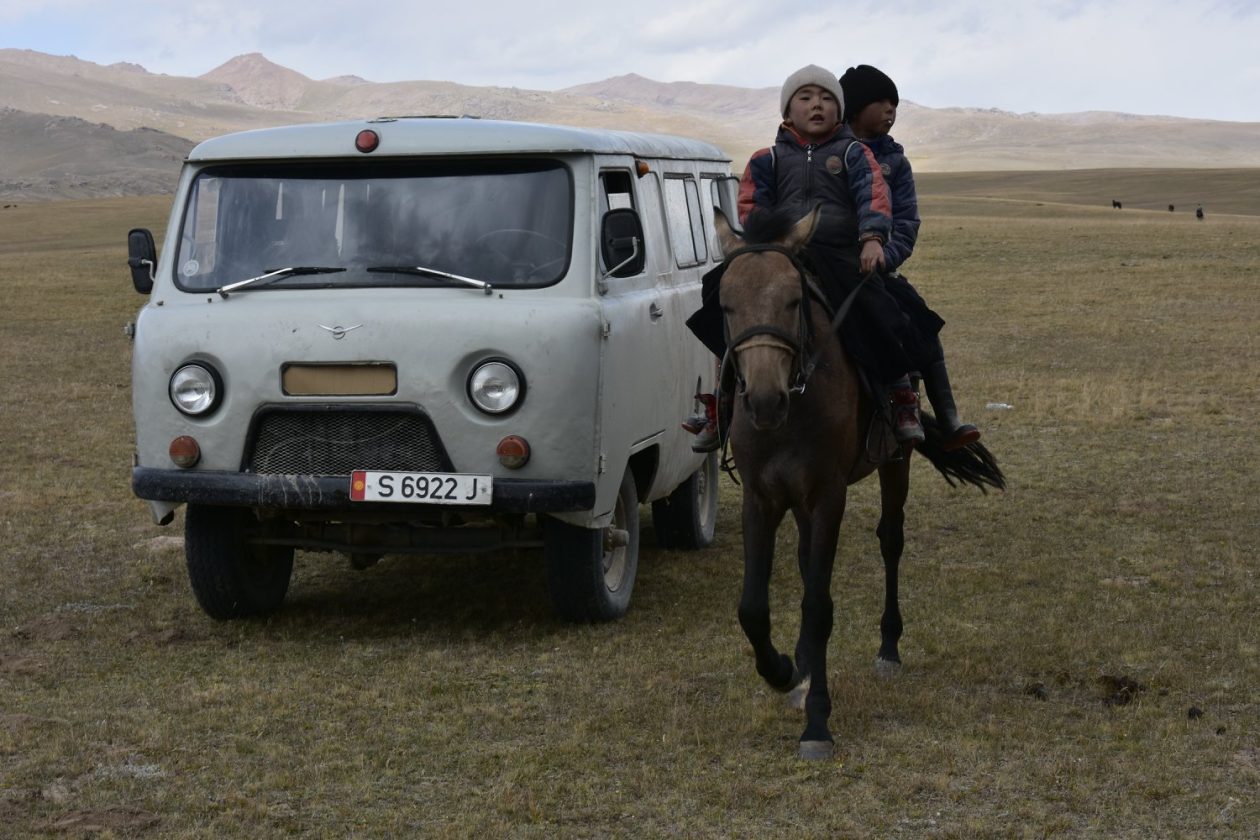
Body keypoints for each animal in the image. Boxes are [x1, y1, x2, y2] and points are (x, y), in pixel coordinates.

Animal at [712, 207, 1005, 760]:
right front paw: (784, 671)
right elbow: (752, 608)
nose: (763, 401)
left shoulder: (829, 496)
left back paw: (888, 648)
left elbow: (819, 606)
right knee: (806, 560)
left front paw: (817, 722)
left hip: (894, 461)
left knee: (890, 541)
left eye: (794, 298)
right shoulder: (761, 498)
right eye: (726, 303)